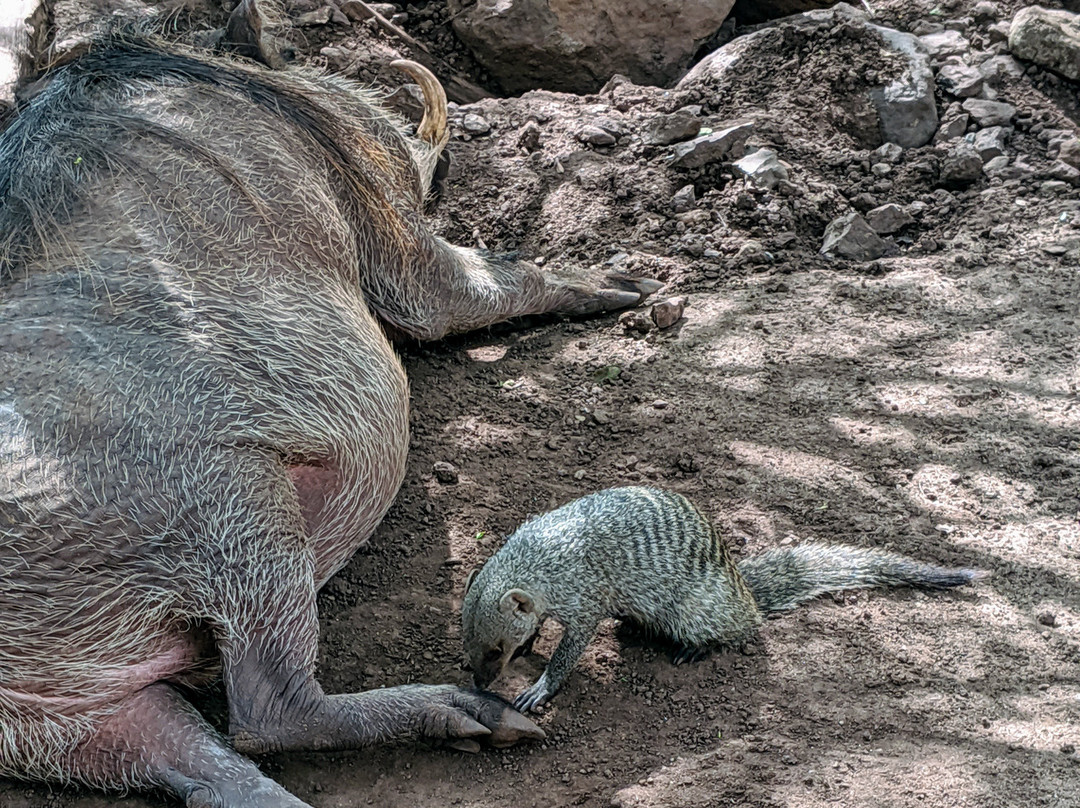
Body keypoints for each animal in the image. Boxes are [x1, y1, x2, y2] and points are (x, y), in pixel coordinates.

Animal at [0, 20, 656, 808]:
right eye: (287, 56)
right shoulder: (392, 234)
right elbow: (476, 287)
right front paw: (632, 282)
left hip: (79, 723)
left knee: (218, 767)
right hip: (241, 506)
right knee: (271, 712)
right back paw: (481, 714)